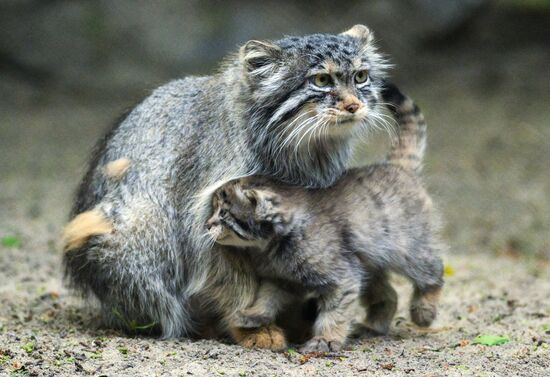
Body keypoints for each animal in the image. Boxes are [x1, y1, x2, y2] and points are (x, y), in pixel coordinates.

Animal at [206, 83, 444, 352]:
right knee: (390, 295)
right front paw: (252, 314)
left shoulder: (343, 279)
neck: (274, 245)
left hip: (409, 250)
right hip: (369, 264)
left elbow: (333, 314)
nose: (207, 224)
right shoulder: (282, 280)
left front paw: (326, 340)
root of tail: (397, 166)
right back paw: (373, 327)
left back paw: (423, 310)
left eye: (223, 214)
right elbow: (266, 298)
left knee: (434, 270)